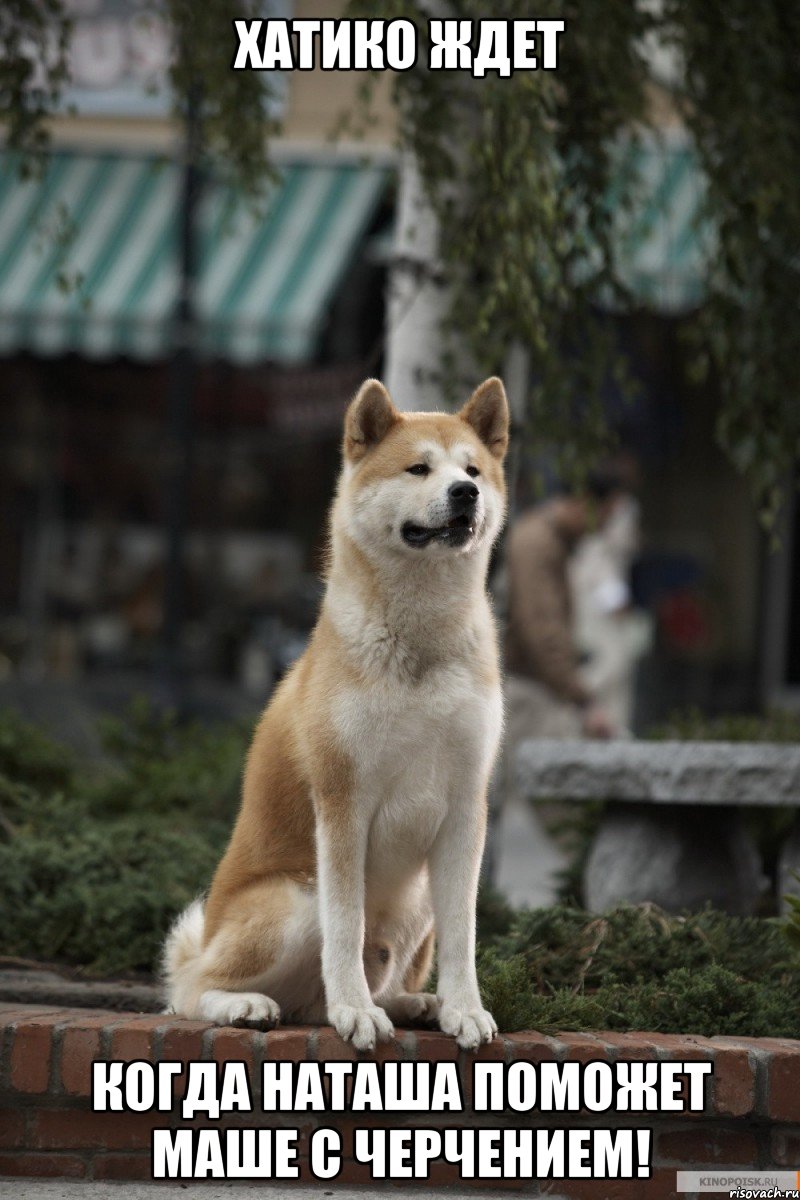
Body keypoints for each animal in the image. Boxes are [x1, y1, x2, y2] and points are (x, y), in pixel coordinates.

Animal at [165, 376, 510, 1051]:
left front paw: (464, 1009)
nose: (466, 493)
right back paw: (250, 1005)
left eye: (473, 470)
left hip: (417, 900)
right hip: (296, 899)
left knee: (362, 984)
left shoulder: (466, 807)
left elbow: (464, 934)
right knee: (189, 990)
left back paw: (415, 1003)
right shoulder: (343, 801)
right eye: (418, 468)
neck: (420, 644)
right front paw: (355, 1011)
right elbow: (346, 928)